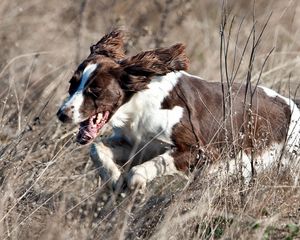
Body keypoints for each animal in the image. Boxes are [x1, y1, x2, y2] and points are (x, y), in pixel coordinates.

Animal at [56, 30, 300, 190]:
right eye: (72, 84)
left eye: (95, 90)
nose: (62, 114)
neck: (141, 106)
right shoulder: (138, 145)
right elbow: (96, 148)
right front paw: (114, 179)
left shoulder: (201, 152)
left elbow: (144, 168)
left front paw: (135, 185)